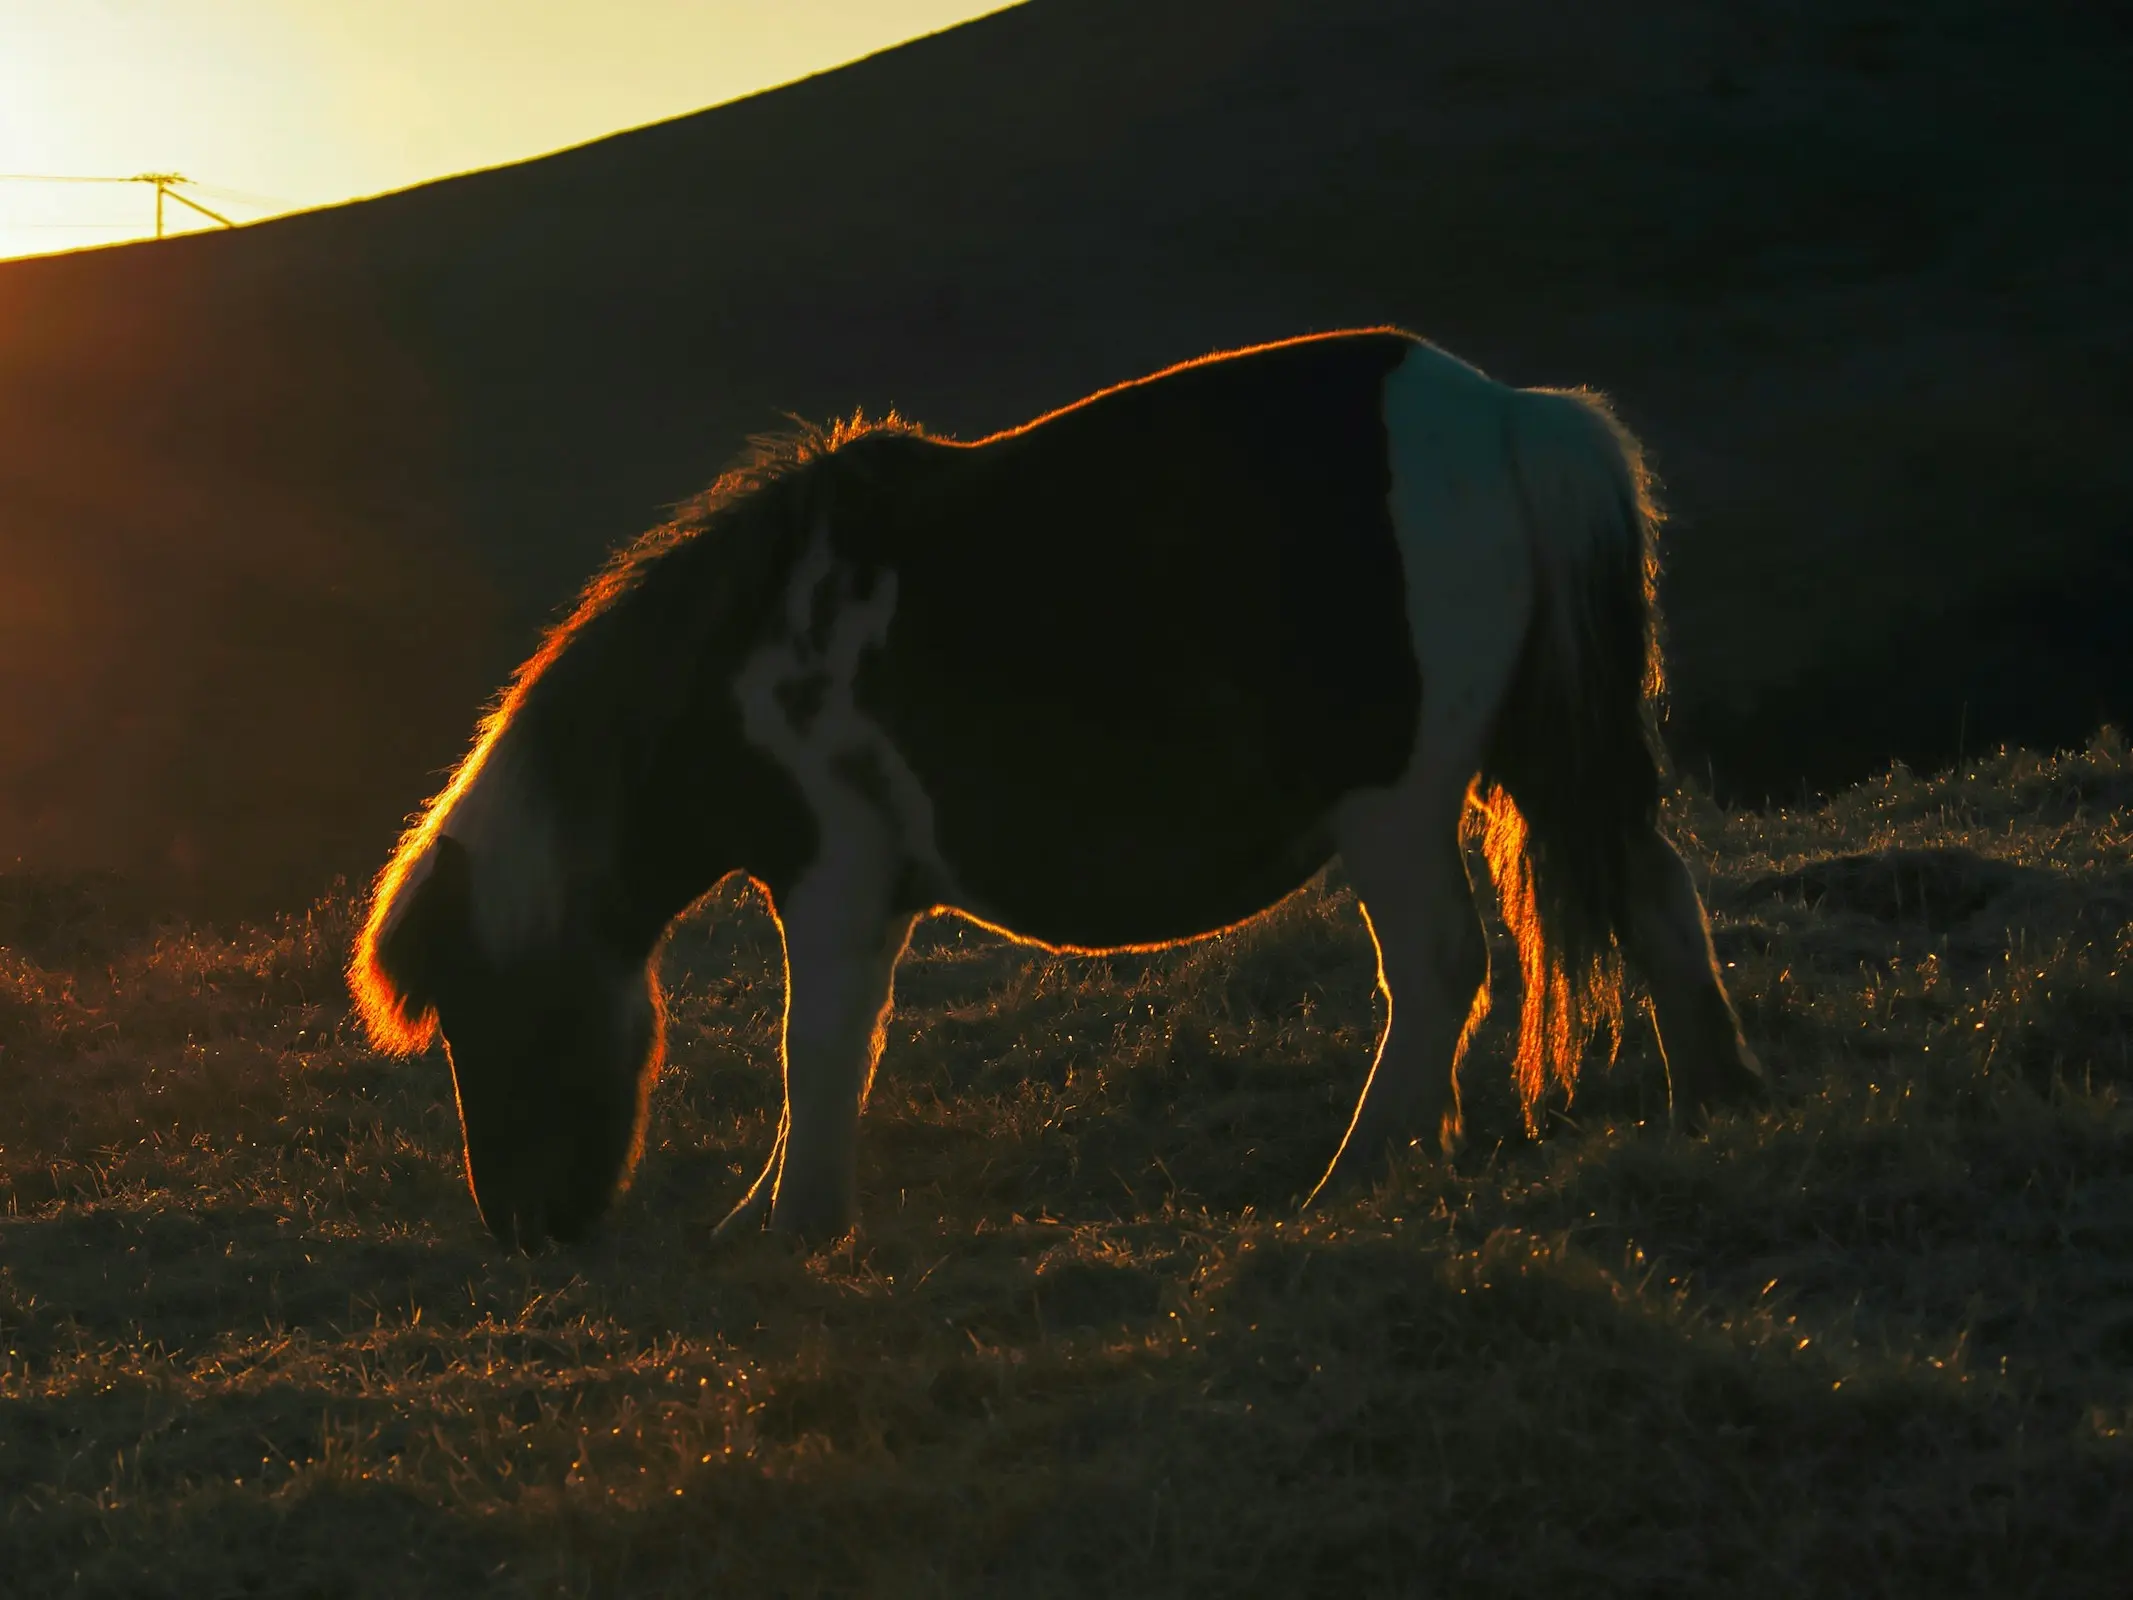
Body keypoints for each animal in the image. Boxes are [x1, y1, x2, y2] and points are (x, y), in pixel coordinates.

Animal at [349, 328, 1766, 1254]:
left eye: (483, 1015)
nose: (523, 1228)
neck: (747, 661)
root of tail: (1512, 415)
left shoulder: (838, 877)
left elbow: (819, 1046)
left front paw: (796, 1222)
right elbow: (832, 1053)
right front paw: (778, 1210)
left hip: (1399, 807)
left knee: (1437, 969)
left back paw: (1354, 1173)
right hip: (1546, 752)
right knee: (1654, 896)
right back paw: (1713, 1098)